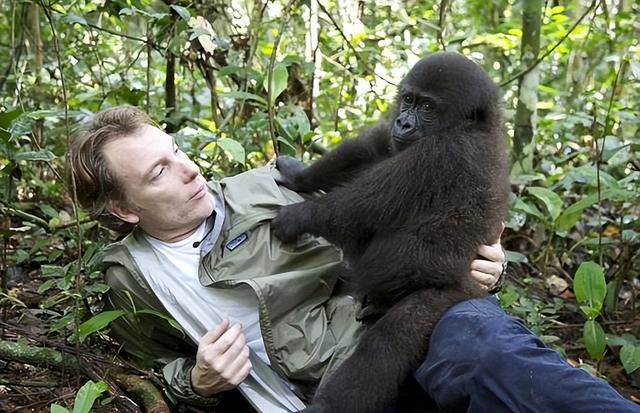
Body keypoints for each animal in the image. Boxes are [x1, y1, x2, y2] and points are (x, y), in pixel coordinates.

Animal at [270, 52, 510, 412]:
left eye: (428, 107)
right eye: (408, 100)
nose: (405, 123)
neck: (474, 126)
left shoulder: (442, 152)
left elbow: (361, 207)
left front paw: (298, 217)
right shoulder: (401, 141)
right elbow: (372, 146)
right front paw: (299, 175)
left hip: (445, 296)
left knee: (387, 345)